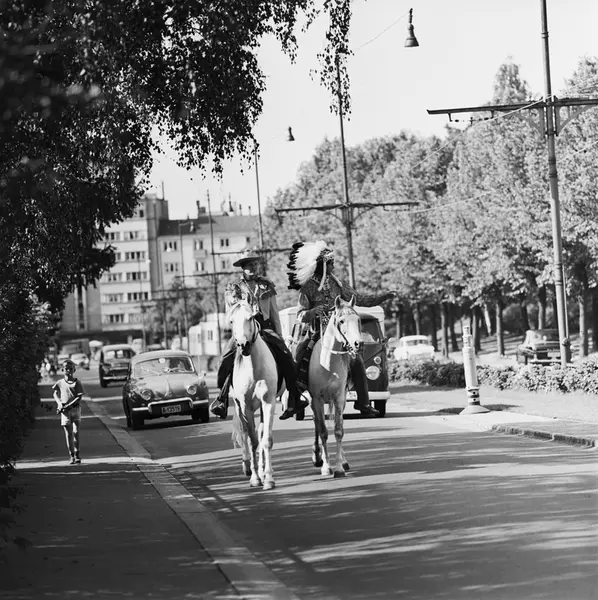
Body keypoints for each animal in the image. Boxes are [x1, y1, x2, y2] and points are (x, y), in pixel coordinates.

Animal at [228, 300, 281, 490]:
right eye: (231, 321)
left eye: (251, 318)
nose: (243, 345)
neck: (253, 369)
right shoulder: (246, 407)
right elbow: (252, 441)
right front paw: (255, 478)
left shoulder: (269, 402)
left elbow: (266, 440)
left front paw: (269, 478)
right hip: (238, 406)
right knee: (244, 434)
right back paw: (247, 466)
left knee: (261, 432)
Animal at [308, 295, 363, 478]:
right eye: (341, 321)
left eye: (358, 319)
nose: (358, 343)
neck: (328, 364)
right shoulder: (317, 398)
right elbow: (323, 431)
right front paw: (326, 467)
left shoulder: (339, 397)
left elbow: (339, 430)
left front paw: (339, 467)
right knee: (317, 423)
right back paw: (317, 457)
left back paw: (344, 462)